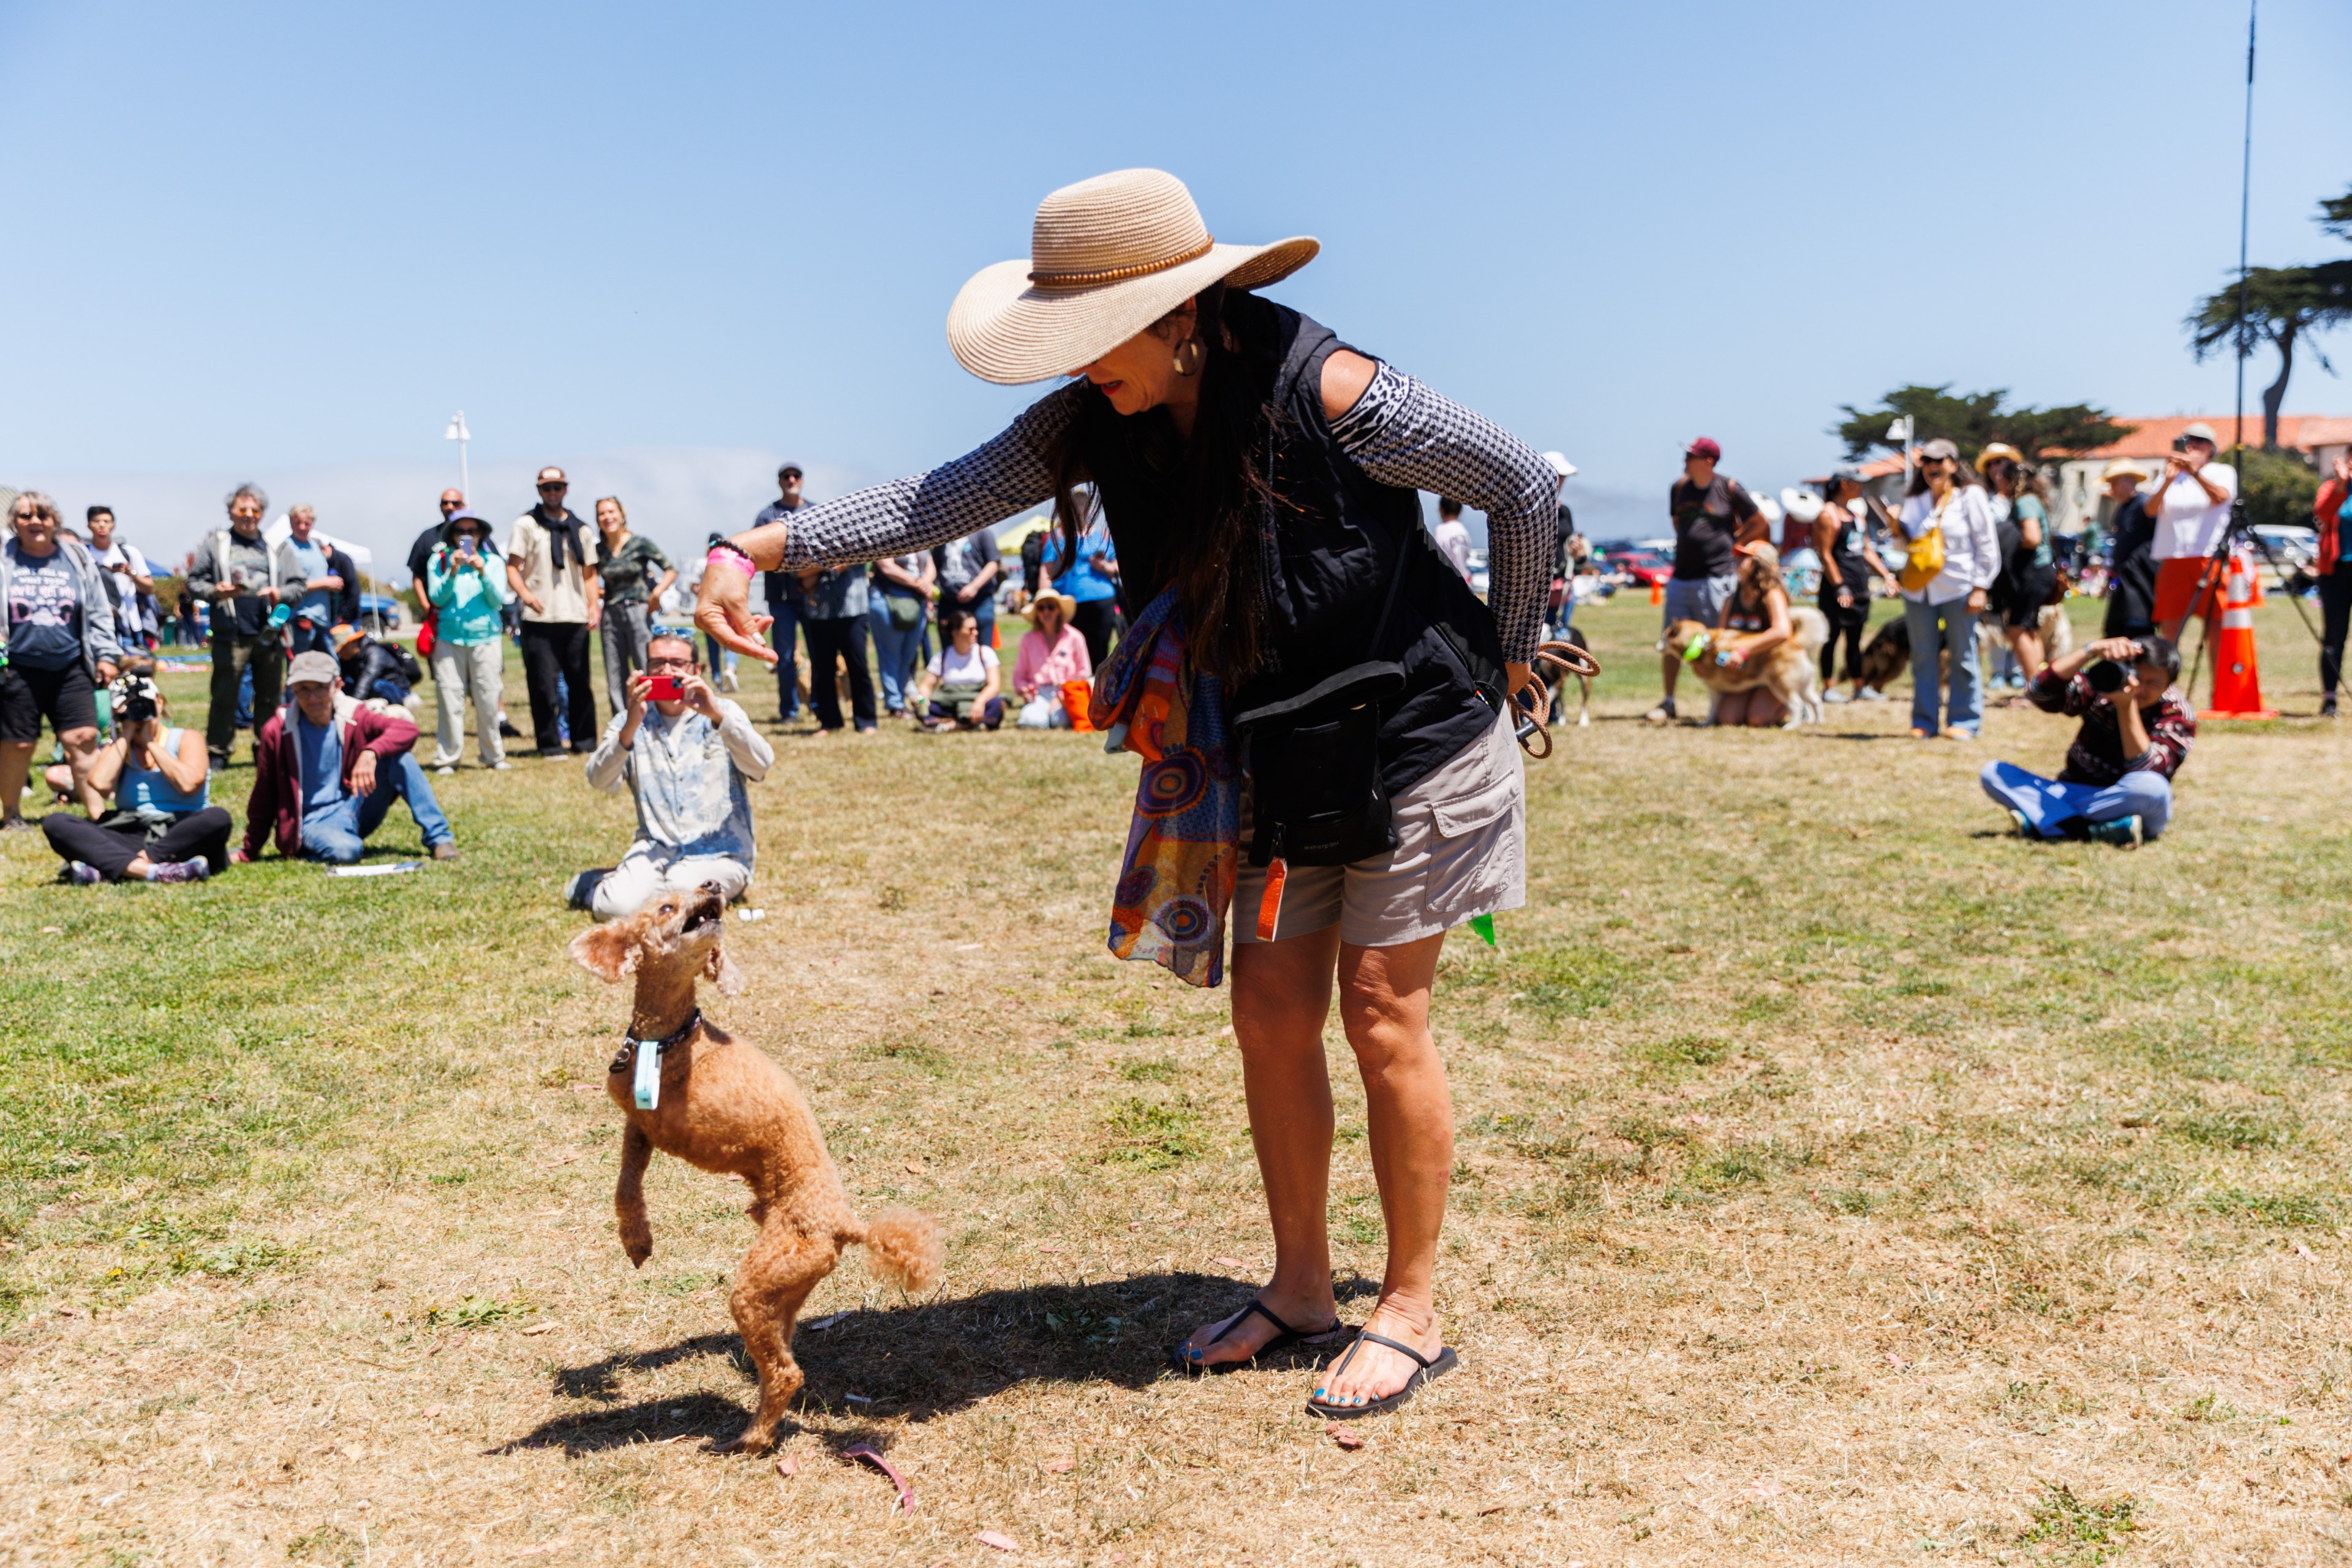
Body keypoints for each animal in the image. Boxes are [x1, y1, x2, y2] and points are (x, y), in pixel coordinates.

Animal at [567, 888, 936, 1457]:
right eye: (667, 908)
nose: (713, 888)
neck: (671, 1040)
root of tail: (848, 1225)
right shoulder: (639, 1125)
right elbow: (626, 1184)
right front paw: (636, 1239)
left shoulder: (670, 1121)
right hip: (785, 1295)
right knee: (786, 1367)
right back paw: (762, 1428)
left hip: (758, 1283)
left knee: (784, 1373)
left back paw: (750, 1440)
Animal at [1665, 611, 1825, 738]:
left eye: (1663, 637)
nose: (1659, 645)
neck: (1701, 644)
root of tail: (1796, 642)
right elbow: (1715, 710)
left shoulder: (1714, 689)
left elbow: (1711, 709)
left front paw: (1706, 723)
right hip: (1804, 687)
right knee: (1815, 701)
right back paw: (1818, 722)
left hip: (1781, 686)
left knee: (1797, 704)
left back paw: (1791, 726)